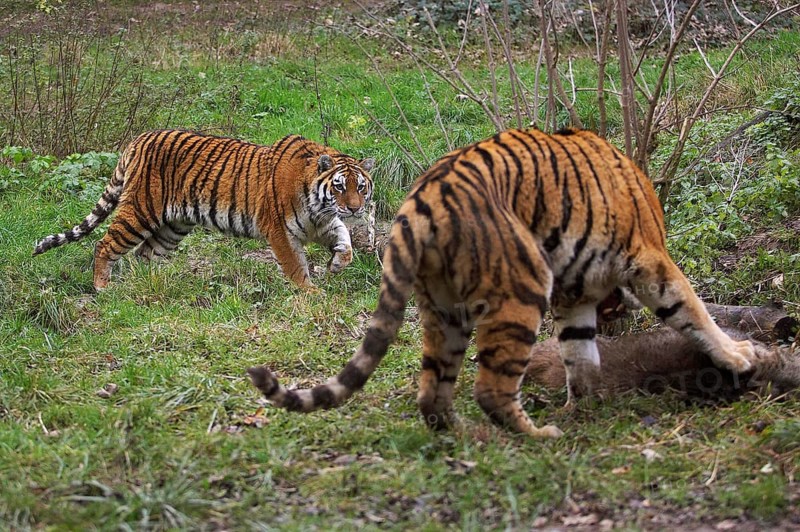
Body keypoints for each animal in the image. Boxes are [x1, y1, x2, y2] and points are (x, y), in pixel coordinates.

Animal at [33, 130, 375, 290]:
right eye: (339, 186)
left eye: (361, 186)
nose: (355, 208)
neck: (319, 204)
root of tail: (139, 138)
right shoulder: (279, 229)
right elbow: (295, 265)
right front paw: (309, 292)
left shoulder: (322, 222)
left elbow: (344, 239)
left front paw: (338, 263)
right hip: (140, 211)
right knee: (105, 245)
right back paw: (102, 287)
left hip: (173, 226)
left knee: (146, 254)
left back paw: (154, 284)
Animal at [248, 127, 755, 439]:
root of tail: (421, 201)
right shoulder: (648, 257)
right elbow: (690, 308)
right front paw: (737, 355)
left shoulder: (573, 294)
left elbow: (581, 355)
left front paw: (585, 406)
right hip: (522, 287)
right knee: (489, 389)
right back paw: (537, 435)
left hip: (443, 309)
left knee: (432, 392)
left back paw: (463, 434)